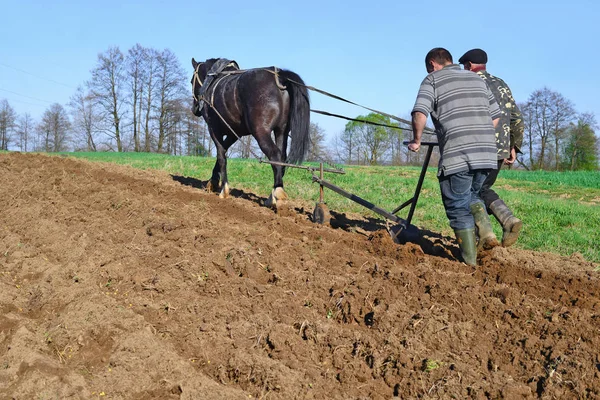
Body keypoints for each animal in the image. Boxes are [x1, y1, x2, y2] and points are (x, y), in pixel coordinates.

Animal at [190, 58, 312, 209]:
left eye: (191, 81)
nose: (194, 109)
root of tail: (280, 76)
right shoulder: (234, 133)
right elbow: (223, 151)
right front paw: (212, 181)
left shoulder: (213, 129)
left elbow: (221, 156)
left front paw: (224, 189)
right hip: (281, 131)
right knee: (281, 159)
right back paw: (272, 196)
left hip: (261, 132)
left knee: (275, 155)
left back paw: (278, 193)